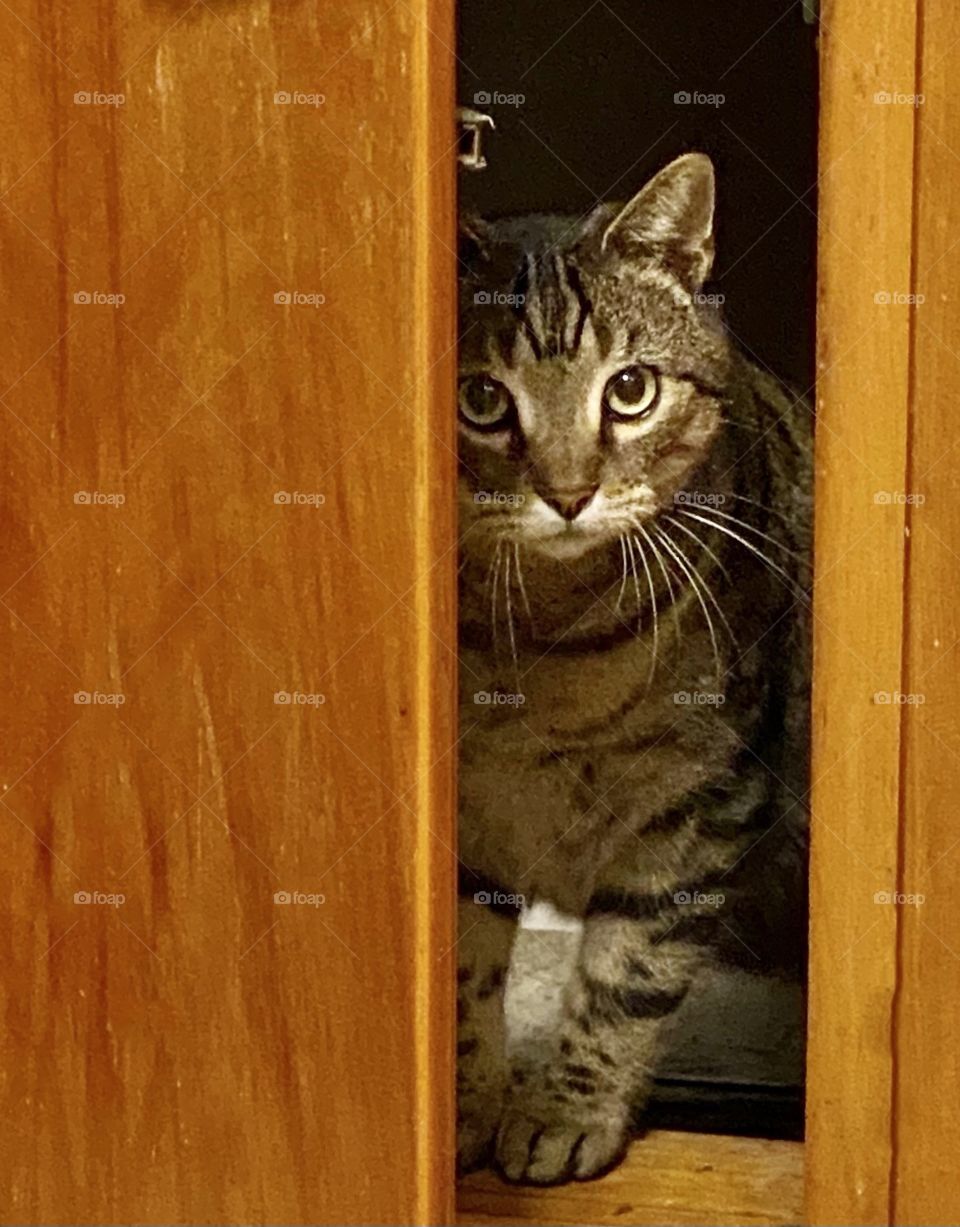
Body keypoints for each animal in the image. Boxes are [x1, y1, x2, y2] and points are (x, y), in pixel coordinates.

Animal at [459, 148, 810, 1182]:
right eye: (482, 400)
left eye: (631, 390)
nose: (569, 493)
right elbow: (463, 971)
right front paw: (466, 1099)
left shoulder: (700, 810)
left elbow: (629, 974)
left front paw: (567, 1108)